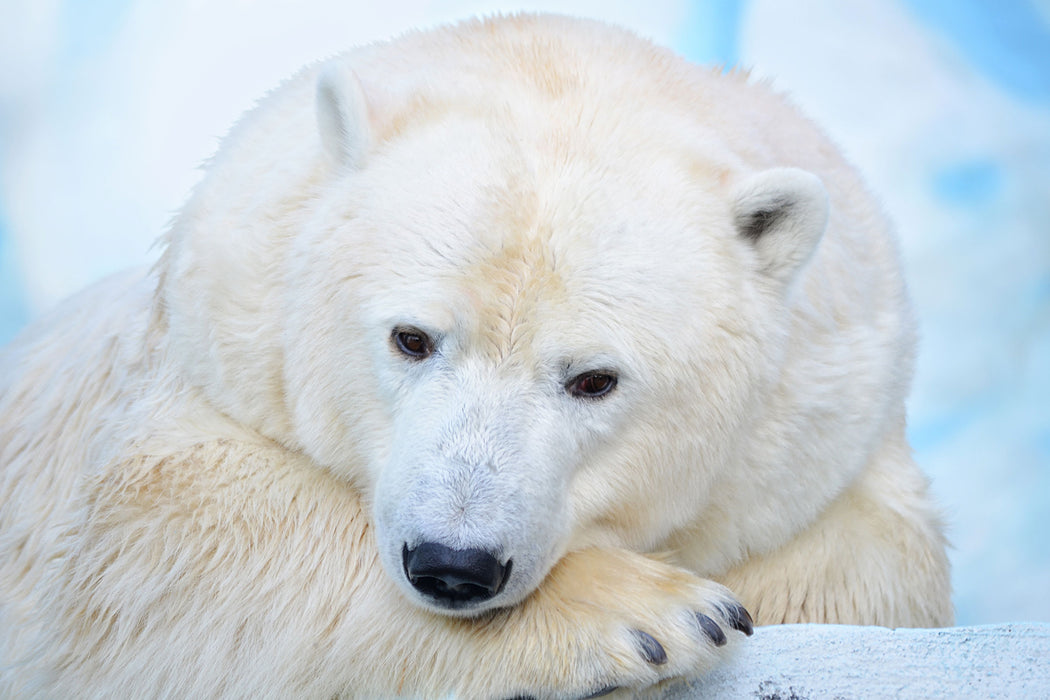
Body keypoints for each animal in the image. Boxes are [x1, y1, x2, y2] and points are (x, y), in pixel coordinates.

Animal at [0, 12, 953, 700]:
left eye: (595, 379)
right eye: (411, 337)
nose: (454, 565)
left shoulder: (820, 437)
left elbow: (871, 571)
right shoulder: (209, 355)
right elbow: (164, 536)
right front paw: (654, 614)